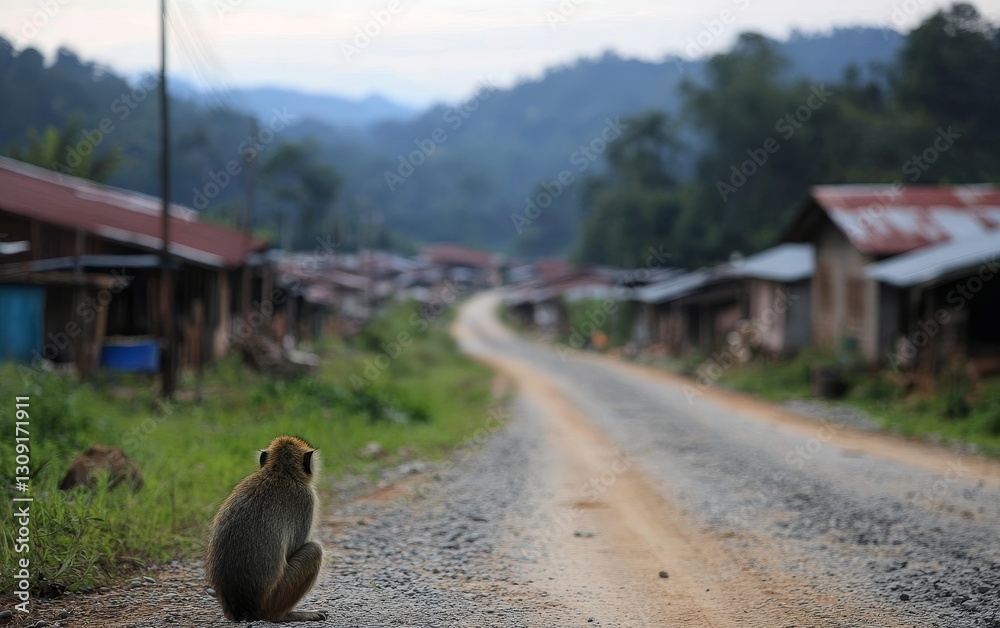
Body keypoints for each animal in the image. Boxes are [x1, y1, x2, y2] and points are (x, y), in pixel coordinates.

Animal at [205, 435, 327, 623]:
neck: (280, 471)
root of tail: (242, 609)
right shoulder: (306, 499)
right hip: (275, 598)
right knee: (314, 550)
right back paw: (286, 615)